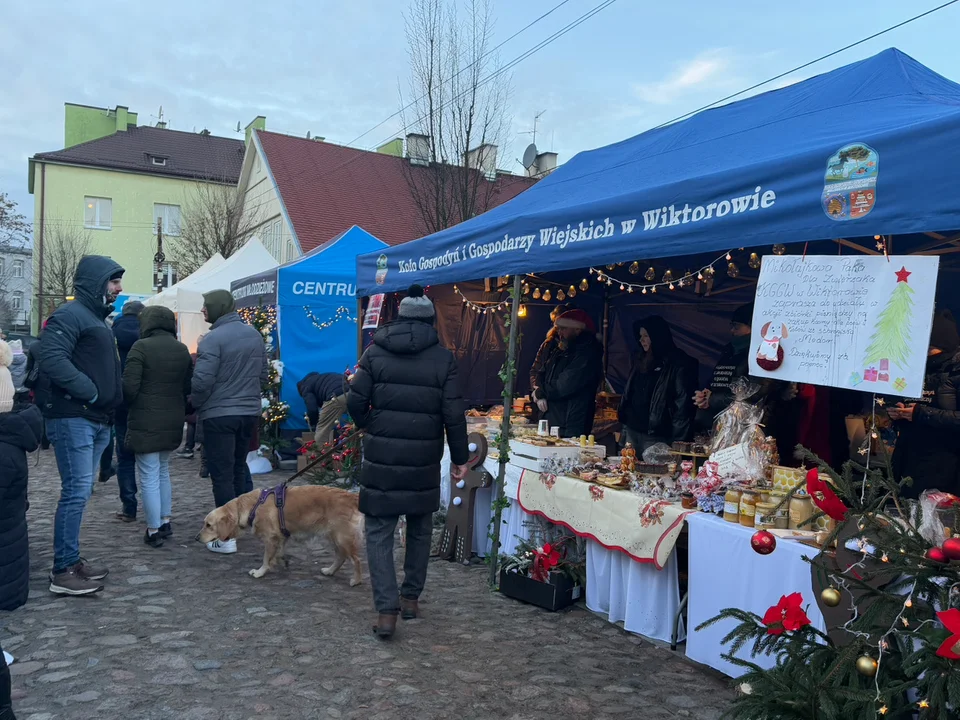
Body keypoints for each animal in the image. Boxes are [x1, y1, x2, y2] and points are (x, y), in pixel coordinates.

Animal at [195, 484, 364, 584]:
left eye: (208, 525)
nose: (196, 538)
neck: (252, 506)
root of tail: (352, 496)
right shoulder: (281, 536)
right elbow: (280, 551)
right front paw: (282, 560)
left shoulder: (270, 538)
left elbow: (265, 558)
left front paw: (260, 572)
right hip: (333, 537)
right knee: (341, 557)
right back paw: (329, 571)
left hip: (342, 538)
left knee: (356, 560)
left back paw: (355, 580)